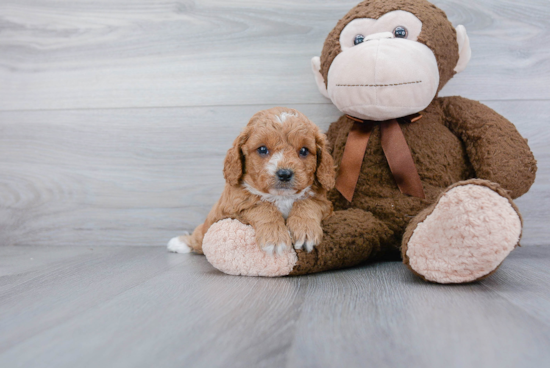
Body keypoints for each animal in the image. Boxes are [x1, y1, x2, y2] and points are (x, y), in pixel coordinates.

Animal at [169, 107, 336, 253]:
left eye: (304, 151)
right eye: (262, 149)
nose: (284, 174)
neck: (281, 196)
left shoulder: (324, 203)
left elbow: (306, 203)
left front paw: (306, 231)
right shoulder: (235, 207)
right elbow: (262, 206)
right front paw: (275, 238)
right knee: (199, 236)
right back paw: (179, 243)